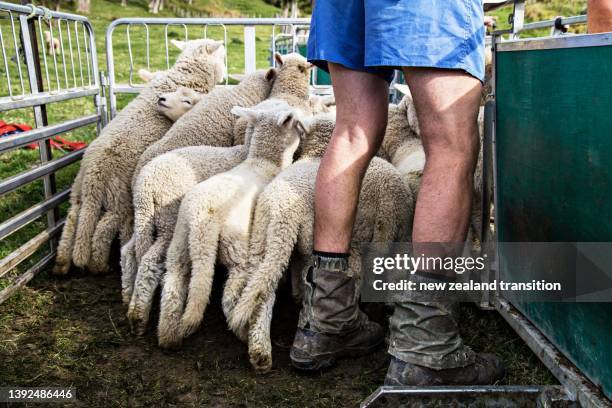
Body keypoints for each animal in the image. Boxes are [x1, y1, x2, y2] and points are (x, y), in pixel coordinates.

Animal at [53, 39, 226, 274]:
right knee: (105, 227)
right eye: (222, 56)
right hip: (119, 199)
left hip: (78, 194)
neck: (187, 72)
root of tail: (93, 175)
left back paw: (62, 263)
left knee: (72, 219)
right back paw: (98, 265)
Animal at [158, 101, 306, 348]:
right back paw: (242, 332)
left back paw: (168, 336)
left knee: (173, 283)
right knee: (229, 294)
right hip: (235, 246)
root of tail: (199, 219)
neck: (263, 163)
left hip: (179, 242)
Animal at [227, 113, 414, 372]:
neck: (316, 153)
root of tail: (279, 210)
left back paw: (259, 350)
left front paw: (297, 294)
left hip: (264, 243)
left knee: (263, 290)